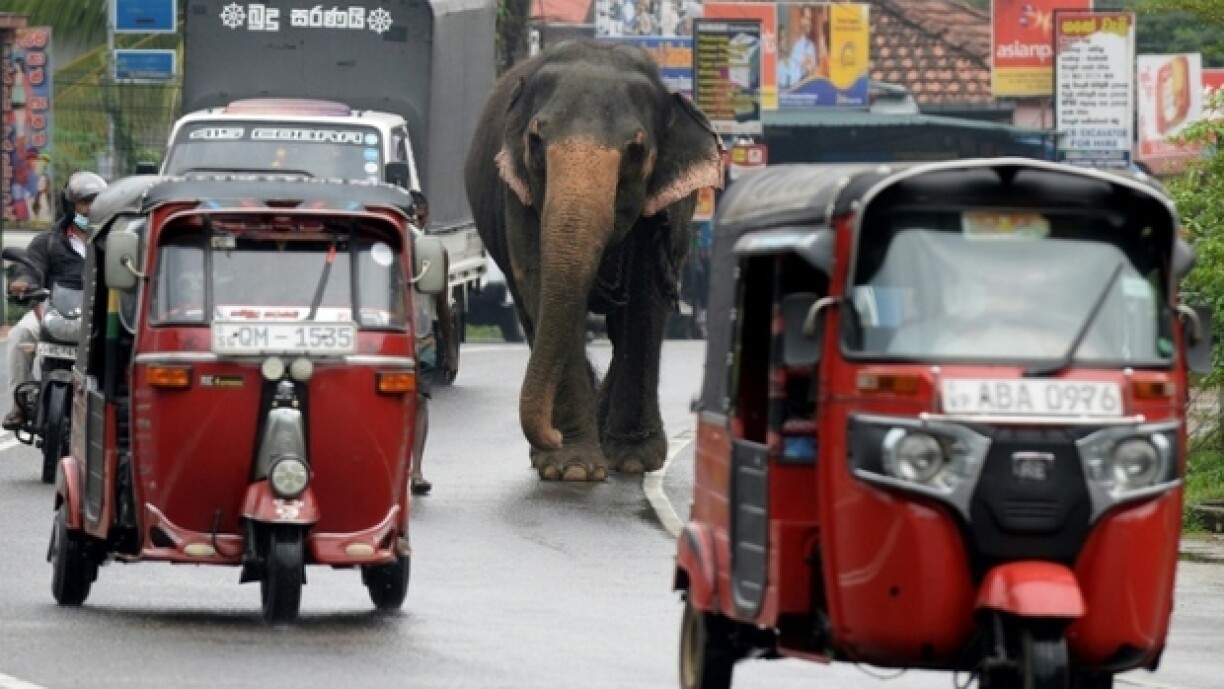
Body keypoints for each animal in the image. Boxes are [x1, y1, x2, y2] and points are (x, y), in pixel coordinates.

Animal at [464, 39, 724, 481]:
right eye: (536, 141)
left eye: (637, 150)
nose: (550, 436)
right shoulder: (517, 194)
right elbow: (540, 283)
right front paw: (571, 468)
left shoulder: (661, 211)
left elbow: (643, 299)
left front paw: (634, 461)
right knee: (531, 314)